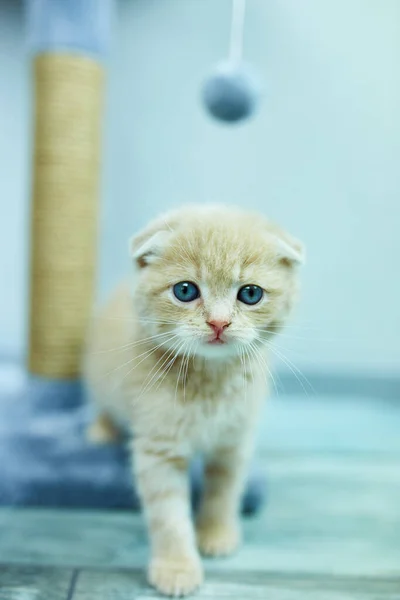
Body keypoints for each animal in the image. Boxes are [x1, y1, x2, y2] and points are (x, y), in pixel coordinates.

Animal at [83, 205, 304, 596]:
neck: (209, 382)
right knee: (102, 405)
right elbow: (168, 514)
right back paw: (101, 430)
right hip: (100, 377)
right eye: (185, 290)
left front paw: (216, 533)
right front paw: (176, 566)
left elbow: (224, 491)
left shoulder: (234, 440)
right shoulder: (158, 447)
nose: (218, 323)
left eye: (250, 294)